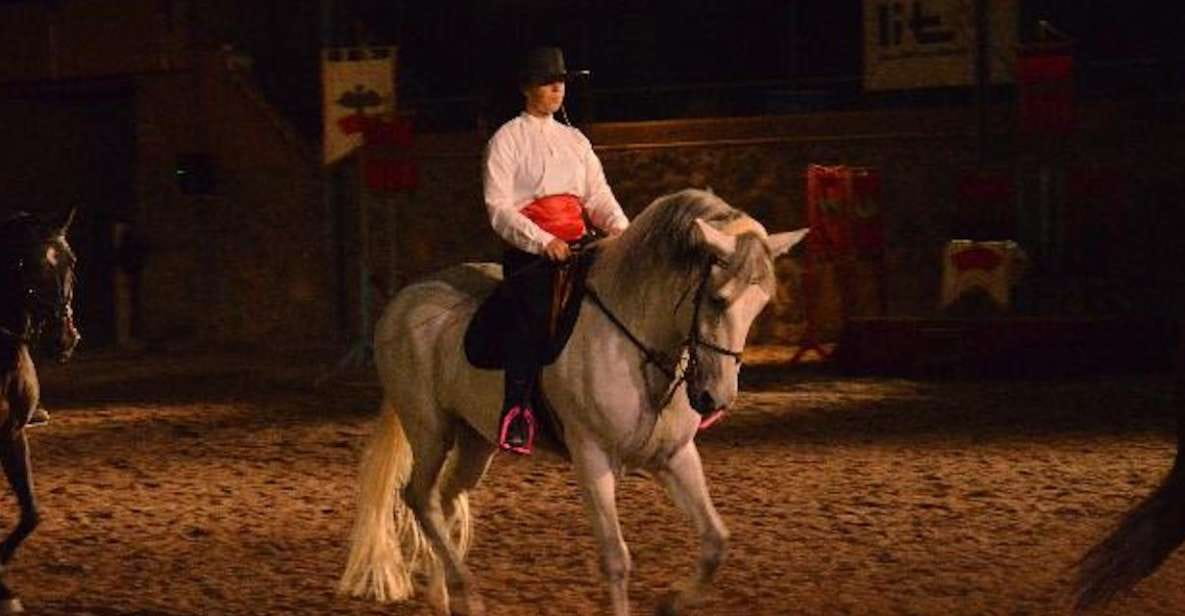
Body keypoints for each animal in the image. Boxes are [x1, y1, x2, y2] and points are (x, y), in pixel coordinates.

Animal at [339, 188, 806, 615]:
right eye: (717, 299)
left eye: (760, 304)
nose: (716, 399)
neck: (635, 341)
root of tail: (403, 302)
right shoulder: (592, 457)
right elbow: (615, 559)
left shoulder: (674, 456)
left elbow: (715, 542)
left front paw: (672, 602)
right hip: (430, 430)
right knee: (420, 497)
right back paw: (466, 594)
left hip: (475, 439)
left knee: (446, 499)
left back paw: (444, 595)